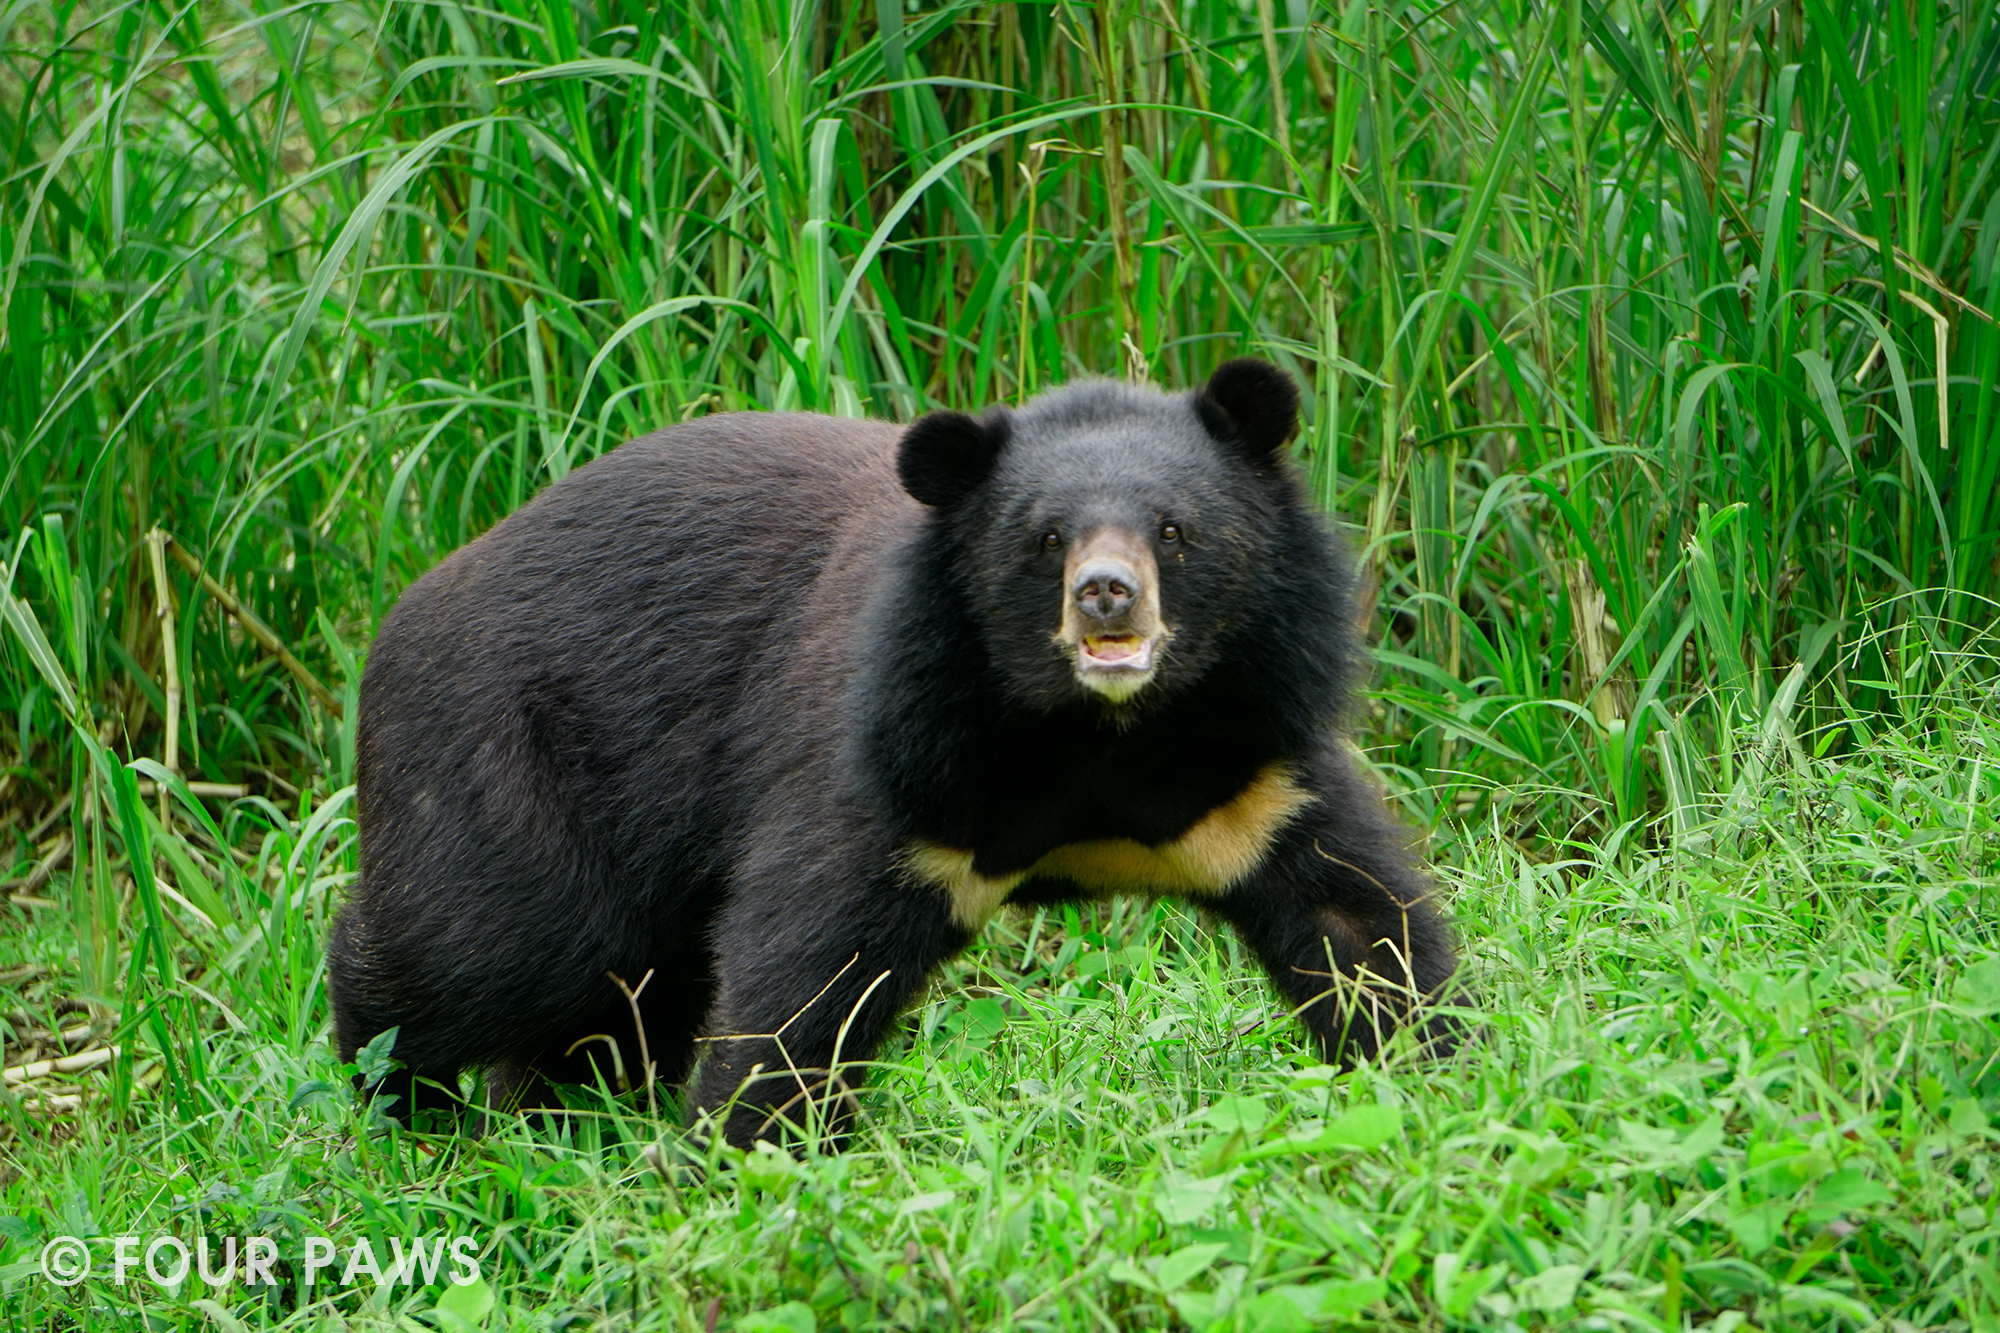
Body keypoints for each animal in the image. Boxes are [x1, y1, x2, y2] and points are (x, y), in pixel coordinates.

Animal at [328, 360, 1456, 1144]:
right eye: (1045, 539)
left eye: (1175, 530)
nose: (1107, 596)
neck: (1101, 733)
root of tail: (401, 618)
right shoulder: (895, 755)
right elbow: (806, 976)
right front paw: (744, 1158)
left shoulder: (1253, 759)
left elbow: (1358, 922)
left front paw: (1438, 1067)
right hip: (508, 763)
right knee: (474, 948)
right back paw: (395, 1109)